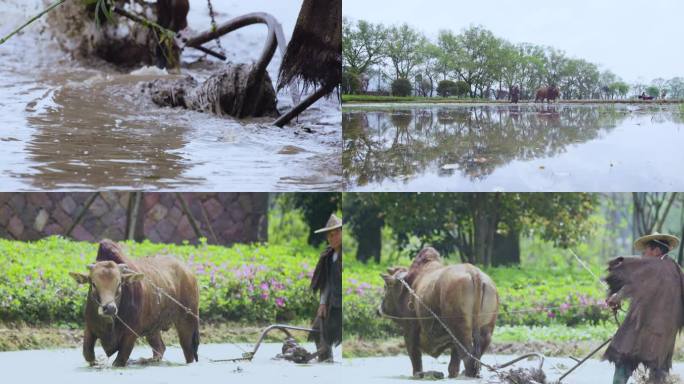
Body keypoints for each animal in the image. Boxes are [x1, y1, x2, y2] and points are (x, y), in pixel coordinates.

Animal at [70, 238, 200, 368]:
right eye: (93, 284)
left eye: (119, 284)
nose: (110, 308)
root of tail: (190, 273)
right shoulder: (89, 328)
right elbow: (88, 354)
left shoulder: (131, 334)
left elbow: (119, 360)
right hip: (153, 329)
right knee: (160, 348)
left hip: (187, 323)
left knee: (189, 353)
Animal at [380, 248, 496, 376]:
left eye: (386, 287)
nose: (380, 309)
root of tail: (474, 273)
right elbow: (453, 367)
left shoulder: (410, 330)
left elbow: (416, 365)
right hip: (485, 330)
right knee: (476, 357)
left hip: (460, 330)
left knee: (468, 358)